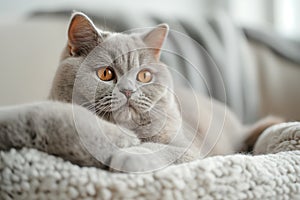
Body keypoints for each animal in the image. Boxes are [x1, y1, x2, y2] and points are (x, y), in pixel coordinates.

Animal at [0, 12, 284, 172]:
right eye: (106, 74)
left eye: (144, 76)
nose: (128, 91)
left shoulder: (188, 148)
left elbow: (159, 149)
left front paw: (128, 158)